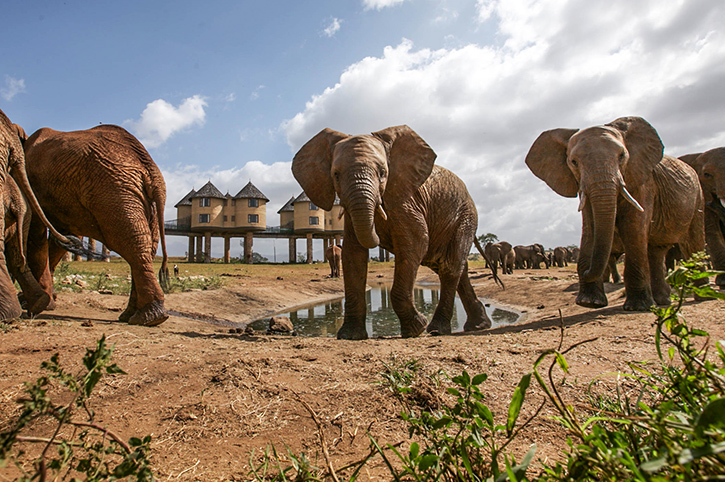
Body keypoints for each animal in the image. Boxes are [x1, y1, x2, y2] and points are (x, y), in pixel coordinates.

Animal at [21, 124, 170, 328]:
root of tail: (151, 168)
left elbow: (37, 233)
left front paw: (34, 303)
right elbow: (59, 239)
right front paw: (45, 300)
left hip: (112, 190)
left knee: (132, 244)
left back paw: (147, 318)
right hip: (133, 196)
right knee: (144, 247)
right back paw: (137, 316)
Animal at [292, 126, 500, 340]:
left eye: (383, 173)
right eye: (335, 174)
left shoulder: (406, 200)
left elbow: (416, 242)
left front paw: (416, 328)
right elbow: (353, 253)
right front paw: (350, 336)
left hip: (466, 216)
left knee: (450, 265)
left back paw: (437, 329)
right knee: (454, 267)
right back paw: (478, 325)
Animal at [524, 117, 704, 312]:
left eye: (622, 156)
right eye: (573, 162)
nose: (583, 270)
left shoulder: (643, 182)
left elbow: (633, 228)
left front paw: (637, 307)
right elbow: (591, 228)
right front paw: (589, 302)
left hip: (698, 198)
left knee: (692, 245)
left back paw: (701, 296)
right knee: (657, 251)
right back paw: (663, 301)